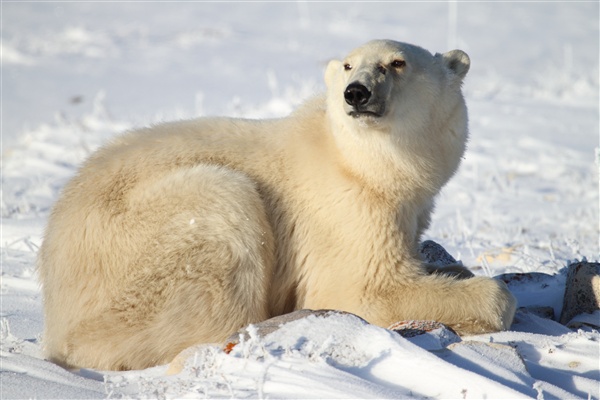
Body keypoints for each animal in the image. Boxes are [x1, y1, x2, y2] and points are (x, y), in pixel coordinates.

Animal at [38, 39, 516, 370]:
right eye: (349, 64)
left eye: (397, 62)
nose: (356, 92)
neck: (366, 163)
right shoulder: (346, 209)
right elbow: (366, 289)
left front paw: (452, 267)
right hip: (143, 238)